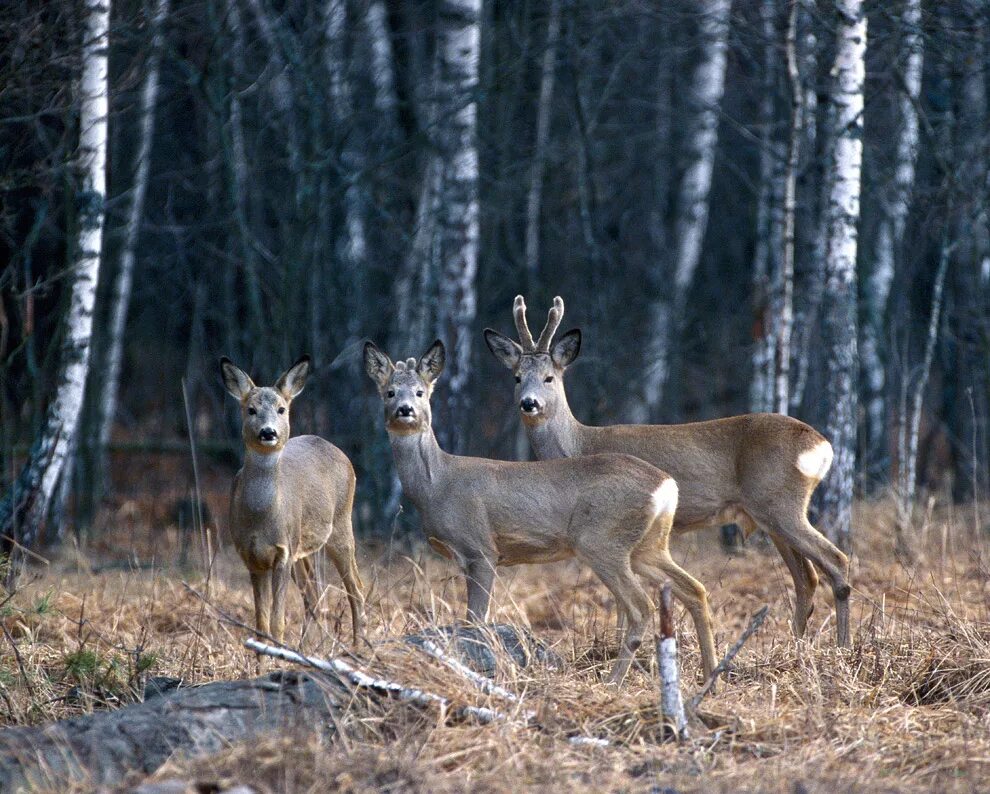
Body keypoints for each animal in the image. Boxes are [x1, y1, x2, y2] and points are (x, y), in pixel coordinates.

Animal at [221, 356, 364, 640]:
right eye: (251, 409)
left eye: (282, 409)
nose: (268, 432)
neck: (261, 516)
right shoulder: (251, 556)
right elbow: (261, 623)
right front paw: (262, 653)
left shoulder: (284, 552)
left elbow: (277, 622)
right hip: (303, 547)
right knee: (315, 596)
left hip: (341, 526)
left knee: (355, 588)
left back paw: (359, 644)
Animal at [364, 338, 720, 684]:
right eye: (390, 392)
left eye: (420, 392)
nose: (405, 410)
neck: (436, 484)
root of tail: (666, 485)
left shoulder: (481, 549)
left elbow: (475, 620)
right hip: (648, 546)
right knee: (694, 588)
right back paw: (709, 674)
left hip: (602, 540)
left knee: (641, 606)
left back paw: (612, 682)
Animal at [486, 294, 852, 648]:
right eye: (517, 377)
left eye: (549, 377)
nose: (529, 403)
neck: (578, 444)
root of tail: (821, 444)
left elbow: (622, 605)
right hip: (770, 514)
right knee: (807, 578)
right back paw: (798, 646)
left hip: (780, 503)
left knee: (835, 561)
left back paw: (842, 647)